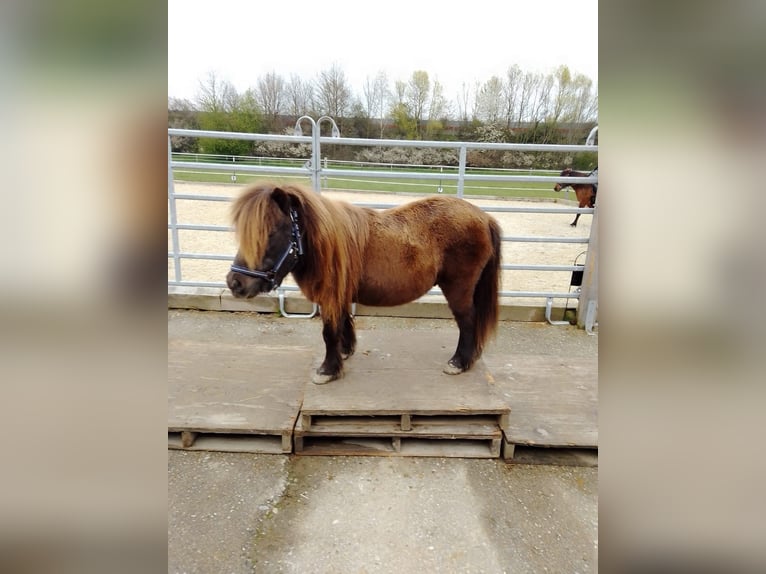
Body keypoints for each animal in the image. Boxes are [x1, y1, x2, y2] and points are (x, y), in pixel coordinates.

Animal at [228, 182, 504, 384]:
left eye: (270, 233)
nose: (234, 283)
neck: (324, 244)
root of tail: (483, 217)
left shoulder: (330, 296)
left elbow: (329, 332)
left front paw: (327, 370)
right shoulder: (338, 295)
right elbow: (342, 324)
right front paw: (344, 352)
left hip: (459, 288)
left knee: (467, 321)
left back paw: (458, 362)